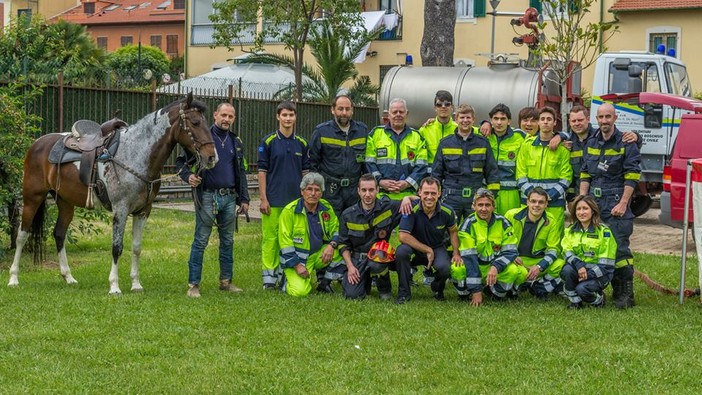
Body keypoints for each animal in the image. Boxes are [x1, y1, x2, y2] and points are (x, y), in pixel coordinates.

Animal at [8, 93, 217, 296]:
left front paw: (136, 284)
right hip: (32, 198)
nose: (212, 157)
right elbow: (117, 248)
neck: (136, 154)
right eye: (195, 122)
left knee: (59, 234)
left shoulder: (143, 211)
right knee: (21, 235)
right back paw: (13, 279)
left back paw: (68, 277)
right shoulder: (120, 209)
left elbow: (136, 247)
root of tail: (37, 143)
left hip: (65, 202)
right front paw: (114, 286)